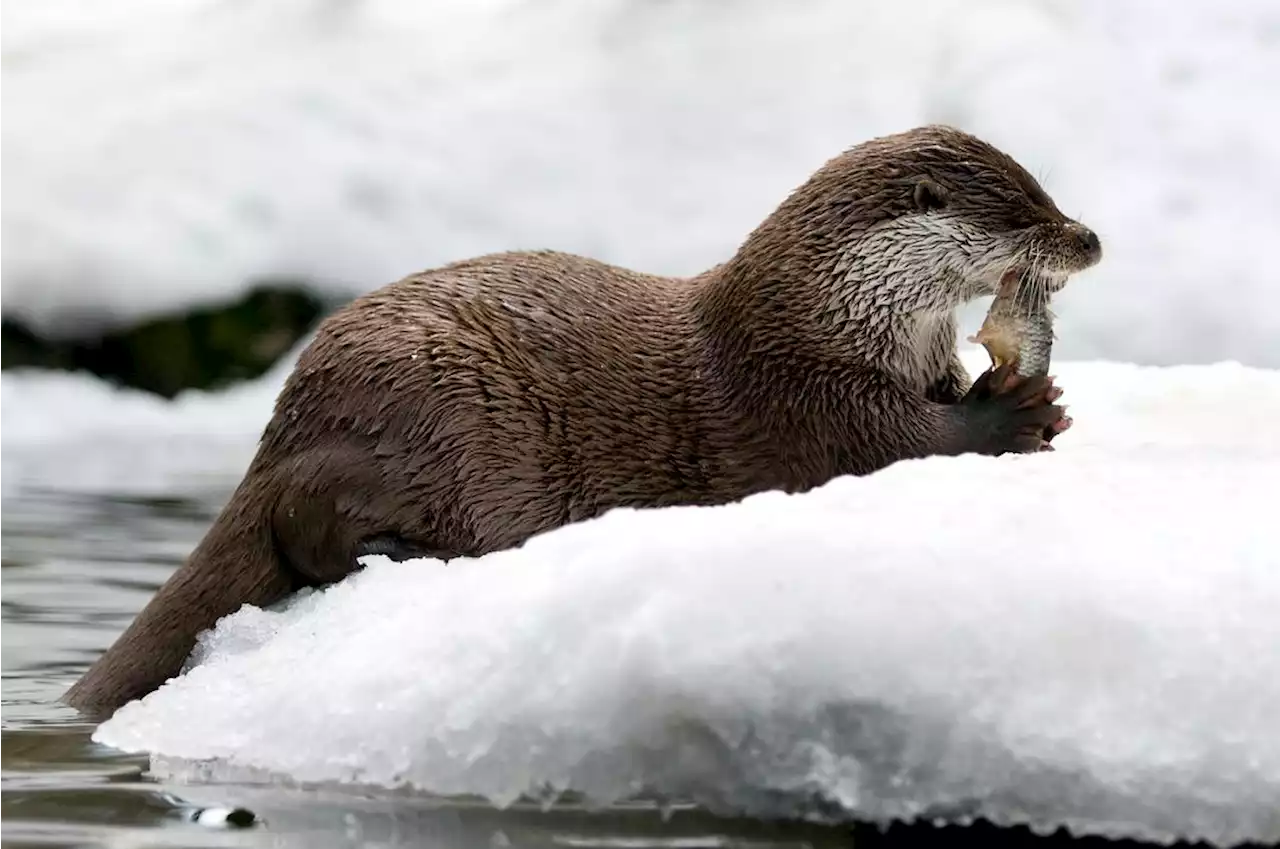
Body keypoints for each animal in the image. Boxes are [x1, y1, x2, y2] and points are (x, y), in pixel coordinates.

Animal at [62, 124, 1100, 717]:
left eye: (1047, 192)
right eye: (1024, 209)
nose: (1088, 236)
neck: (821, 317)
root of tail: (285, 416)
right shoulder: (809, 394)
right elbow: (900, 445)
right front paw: (1017, 410)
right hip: (434, 416)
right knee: (310, 534)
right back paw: (407, 552)